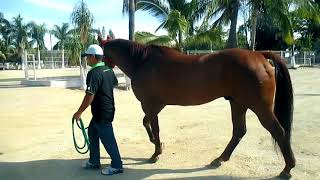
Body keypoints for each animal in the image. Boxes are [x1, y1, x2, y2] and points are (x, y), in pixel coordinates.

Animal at [99, 38, 296, 179]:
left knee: (278, 131)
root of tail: (259, 56)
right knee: (239, 131)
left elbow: (153, 126)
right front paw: (157, 144)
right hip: (238, 103)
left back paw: (287, 169)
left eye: (102, 51)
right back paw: (219, 159)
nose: (103, 67)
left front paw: (156, 153)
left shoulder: (150, 105)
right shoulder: (155, 106)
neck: (142, 62)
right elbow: (146, 123)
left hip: (260, 107)